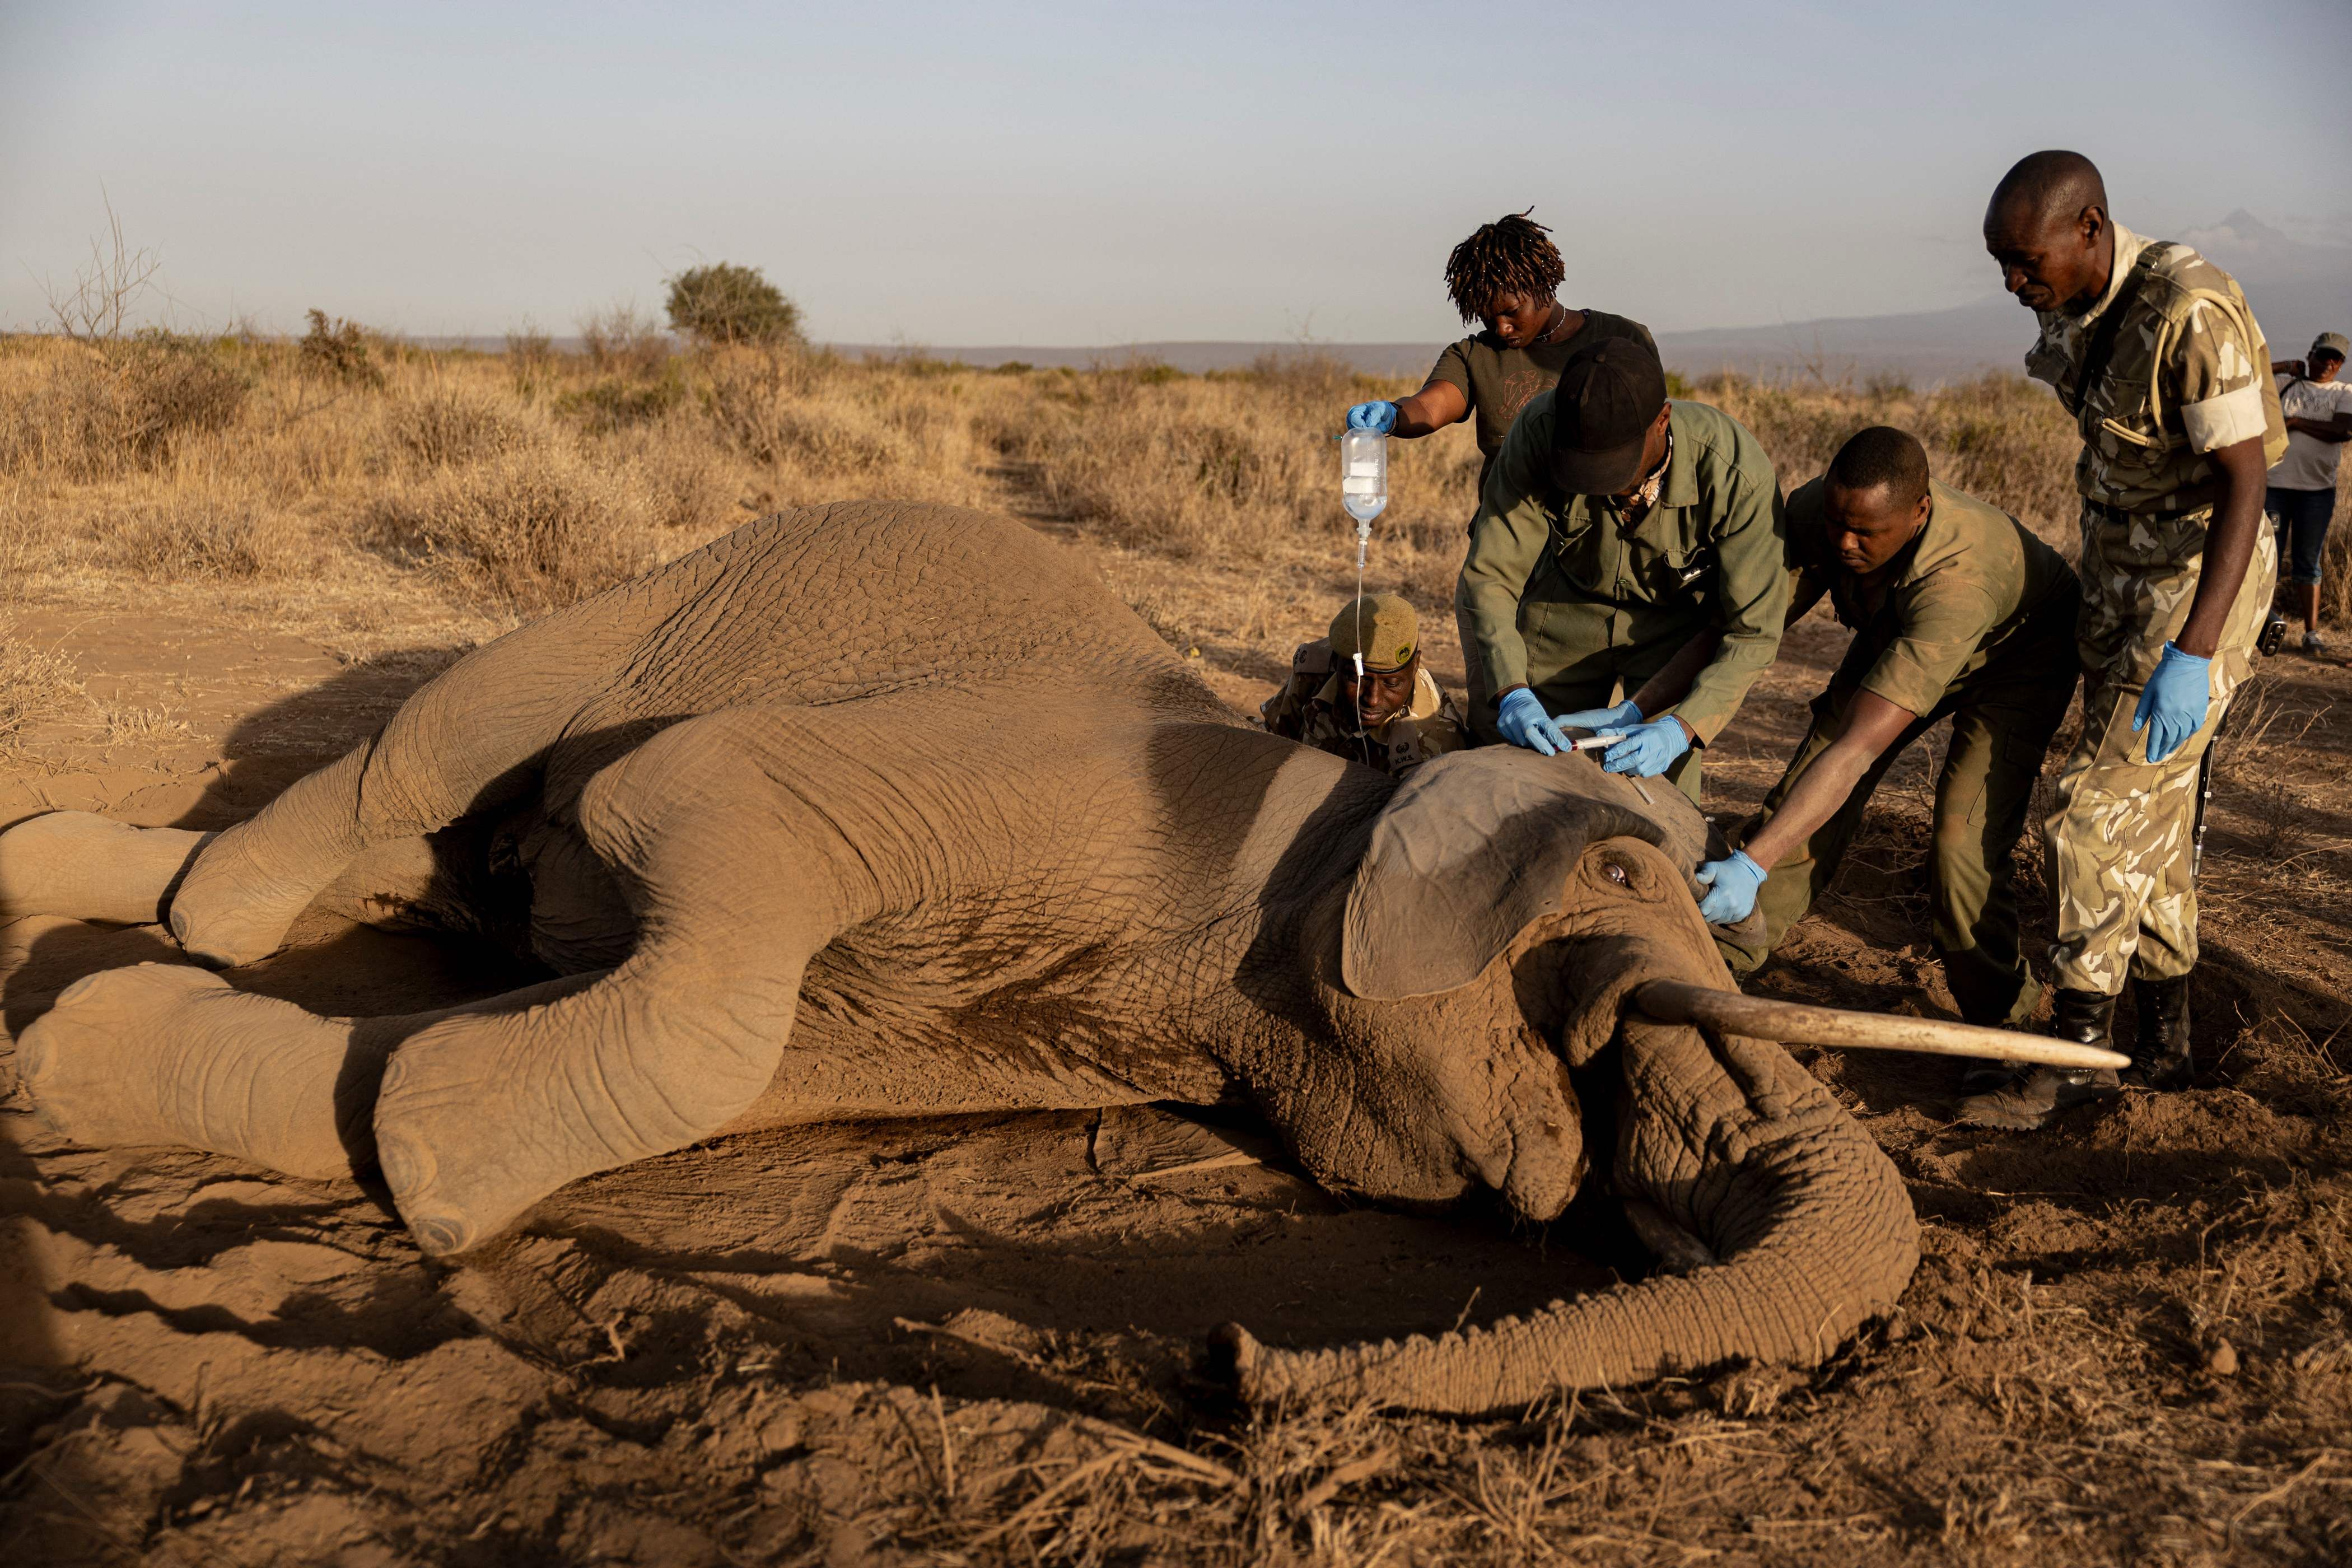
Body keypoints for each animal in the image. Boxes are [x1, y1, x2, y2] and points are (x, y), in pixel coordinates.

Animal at [3, 501, 2078, 1416]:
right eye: (1614, 920)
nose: (1219, 1362)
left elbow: (658, 1063)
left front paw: (179, 1084)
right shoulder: (1105, 804)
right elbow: (687, 809)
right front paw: (443, 1171)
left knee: (418, 874)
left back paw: (76, 898)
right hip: (635, 606)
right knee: (405, 770)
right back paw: (203, 906)